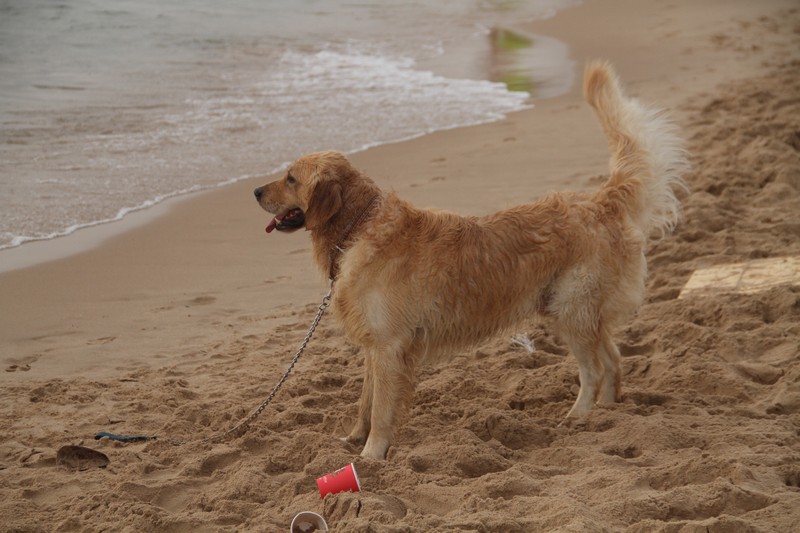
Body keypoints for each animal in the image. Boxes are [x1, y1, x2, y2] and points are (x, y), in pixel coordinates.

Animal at [253, 62, 684, 460]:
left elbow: (381, 410)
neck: (359, 226)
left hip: (572, 310)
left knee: (593, 369)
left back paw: (578, 416)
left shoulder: (390, 346)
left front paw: (371, 456)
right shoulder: (373, 347)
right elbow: (365, 403)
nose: (255, 191)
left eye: (290, 178)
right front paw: (353, 440)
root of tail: (600, 202)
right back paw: (606, 415)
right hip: (578, 311)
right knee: (612, 359)